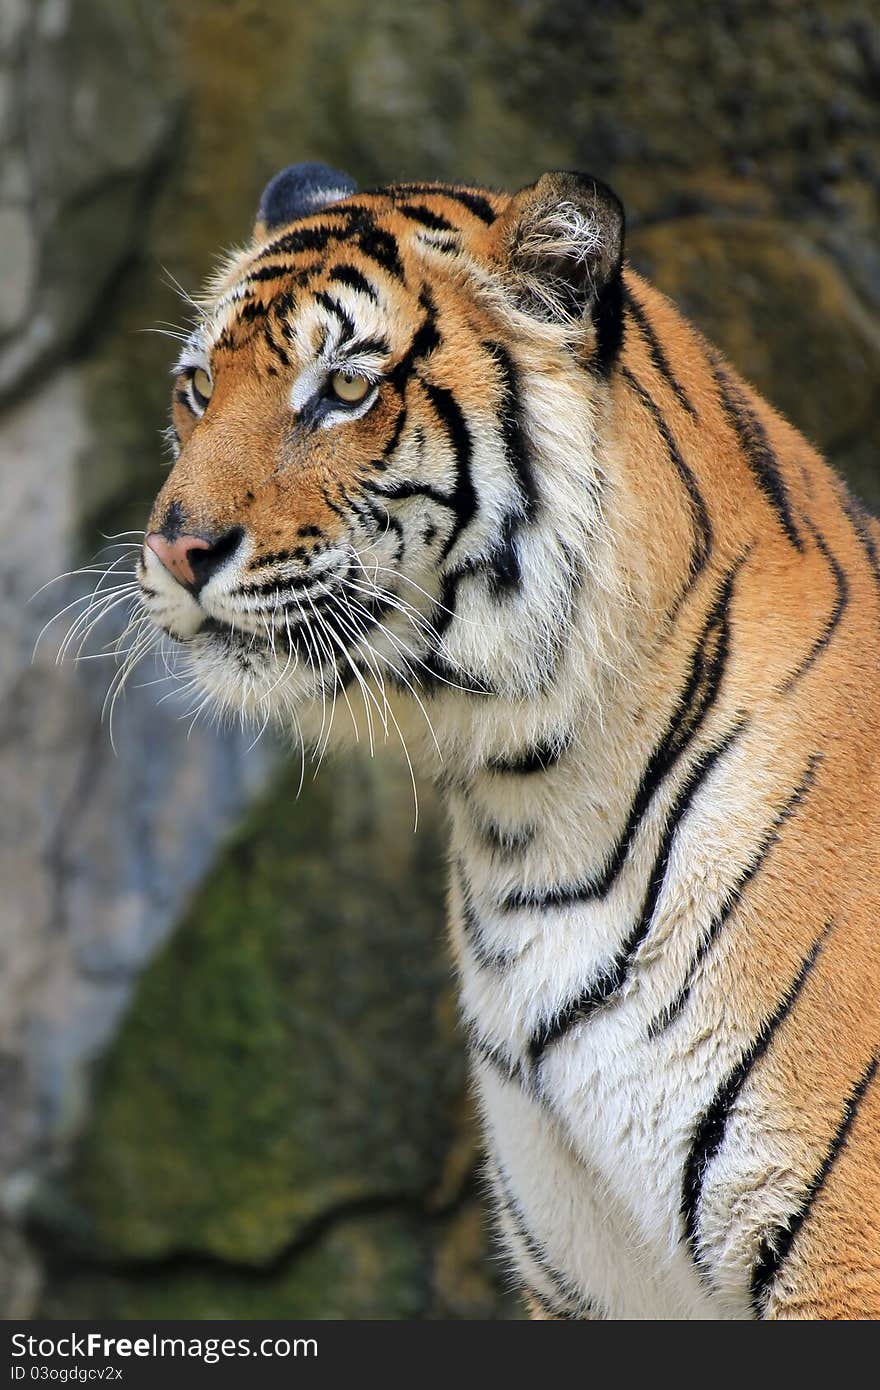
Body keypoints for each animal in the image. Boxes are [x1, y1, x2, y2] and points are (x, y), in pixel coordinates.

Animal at [135, 162, 878, 1323]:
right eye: (199, 386)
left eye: (344, 389)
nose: (175, 549)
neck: (529, 809)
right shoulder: (584, 1272)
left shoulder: (842, 1256)